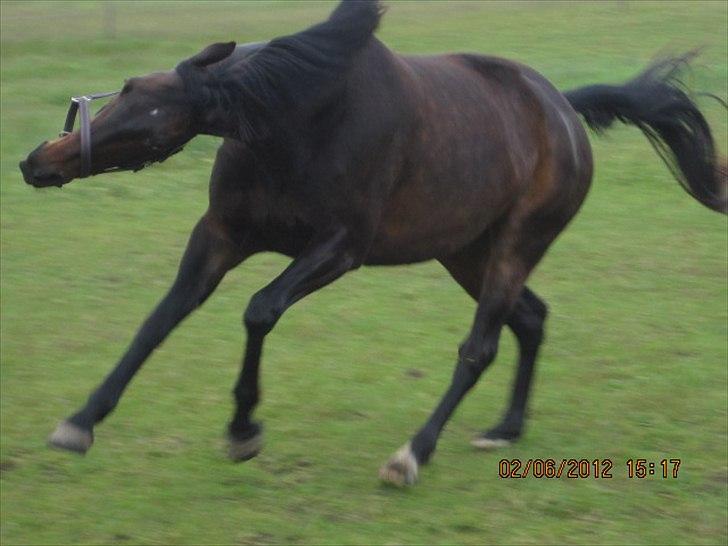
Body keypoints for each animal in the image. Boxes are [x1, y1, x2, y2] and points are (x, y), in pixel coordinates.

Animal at [19, 0, 726, 486]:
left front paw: (244, 428)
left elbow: (259, 310)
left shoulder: (339, 249)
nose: (37, 161)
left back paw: (412, 454)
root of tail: (563, 109)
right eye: (127, 88)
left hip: (516, 245)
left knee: (481, 347)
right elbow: (160, 318)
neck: (294, 118)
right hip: (465, 251)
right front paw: (80, 422)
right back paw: (505, 429)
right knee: (530, 320)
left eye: (147, 111)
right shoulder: (221, 235)